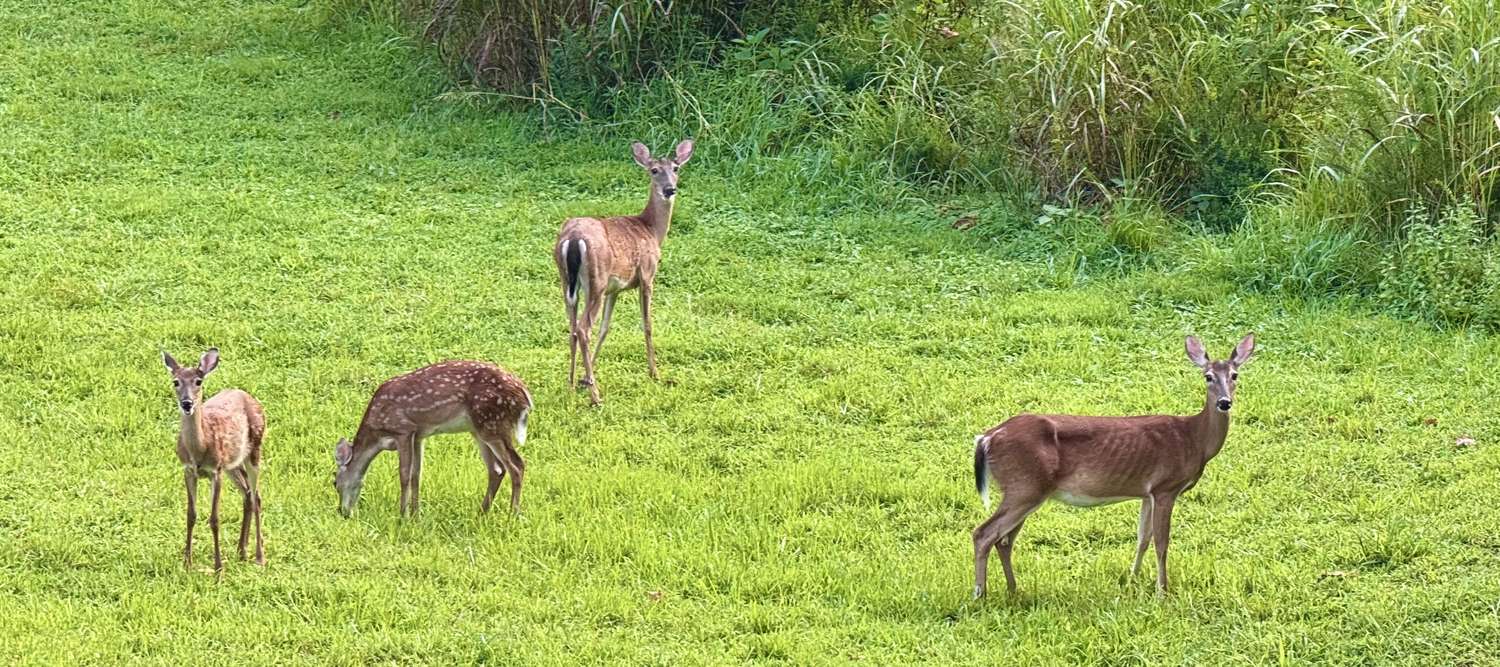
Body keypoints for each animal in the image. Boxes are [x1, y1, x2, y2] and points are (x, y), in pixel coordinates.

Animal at [162, 347, 266, 572]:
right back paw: (241, 550)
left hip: (255, 448)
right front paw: (187, 562)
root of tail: (248, 396)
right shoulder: (188, 470)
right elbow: (190, 515)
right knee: (247, 493)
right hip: (232, 463)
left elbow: (214, 519)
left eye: (198, 381)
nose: (187, 403)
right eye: (176, 382)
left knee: (256, 496)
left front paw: (218, 568)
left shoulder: (215, 471)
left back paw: (259, 557)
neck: (199, 451)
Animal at [332, 360, 532, 518]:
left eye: (334, 482)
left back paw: (512, 515)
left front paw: (402, 515)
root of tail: (524, 395)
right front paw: (415, 514)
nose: (342, 512)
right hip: (479, 429)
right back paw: (481, 512)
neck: (377, 434)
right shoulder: (418, 436)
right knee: (497, 469)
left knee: (516, 465)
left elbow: (404, 475)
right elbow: (416, 474)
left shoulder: (403, 430)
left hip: (492, 423)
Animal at [554, 139, 694, 406]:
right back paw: (596, 398)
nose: (670, 190)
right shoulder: (647, 275)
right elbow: (647, 323)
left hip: (567, 282)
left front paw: (586, 377)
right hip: (595, 282)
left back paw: (571, 382)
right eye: (654, 170)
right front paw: (655, 372)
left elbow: (606, 327)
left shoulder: (615, 289)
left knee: (572, 327)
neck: (651, 230)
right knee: (583, 329)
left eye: (676, 168)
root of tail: (573, 238)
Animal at [970, 333, 1256, 598]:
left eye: (1235, 375)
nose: (1224, 402)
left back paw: (1013, 590)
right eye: (1208, 376)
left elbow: (1143, 538)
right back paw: (980, 594)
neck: (1194, 439)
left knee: (1004, 540)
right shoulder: (1166, 487)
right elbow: (1161, 542)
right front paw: (1162, 591)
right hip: (1025, 486)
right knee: (984, 533)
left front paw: (1133, 578)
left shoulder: (1147, 493)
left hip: (1027, 490)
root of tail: (987, 438)